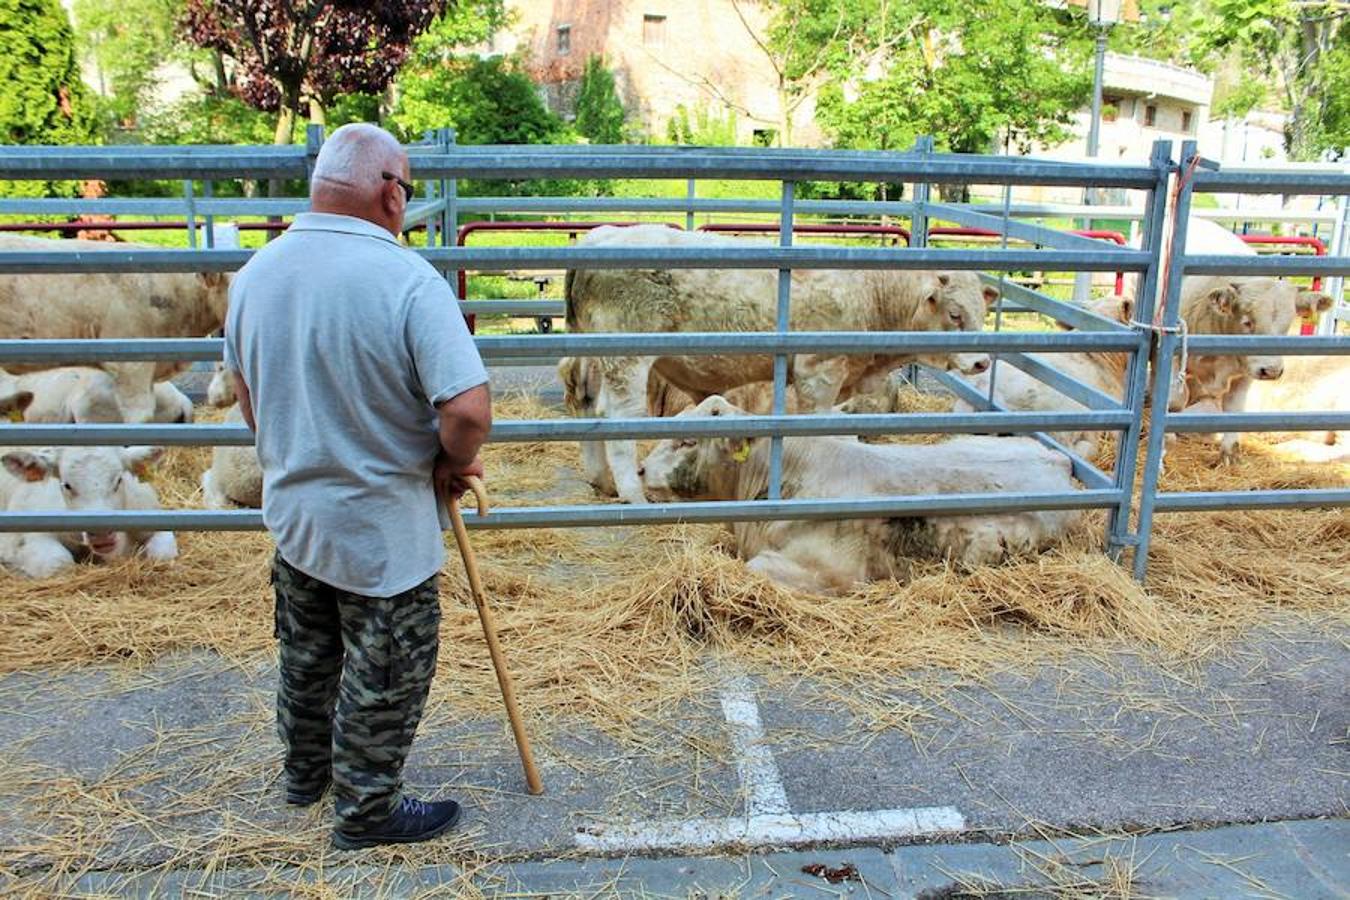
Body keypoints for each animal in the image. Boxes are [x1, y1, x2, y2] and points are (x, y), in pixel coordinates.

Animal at [1, 447, 178, 580]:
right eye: (67, 485)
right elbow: (60, 563)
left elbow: (162, 555)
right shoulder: (23, 539)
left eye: (119, 480)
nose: (101, 534)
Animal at [564, 223, 999, 507]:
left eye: (982, 311)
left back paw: (603, 482)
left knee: (589, 405)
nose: (981, 361)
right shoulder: (819, 373)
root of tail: (603, 234)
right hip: (628, 361)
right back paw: (632, 495)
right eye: (955, 314)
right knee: (618, 422)